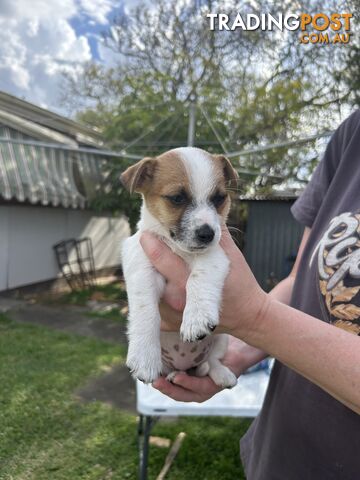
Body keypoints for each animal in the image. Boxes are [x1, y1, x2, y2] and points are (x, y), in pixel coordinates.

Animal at [121, 147, 239, 390]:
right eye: (177, 198)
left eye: (219, 198)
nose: (207, 234)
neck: (179, 250)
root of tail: (185, 367)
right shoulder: (140, 267)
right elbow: (146, 309)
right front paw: (145, 357)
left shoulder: (215, 255)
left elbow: (199, 278)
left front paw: (196, 317)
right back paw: (173, 375)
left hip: (223, 338)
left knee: (212, 361)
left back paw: (221, 374)